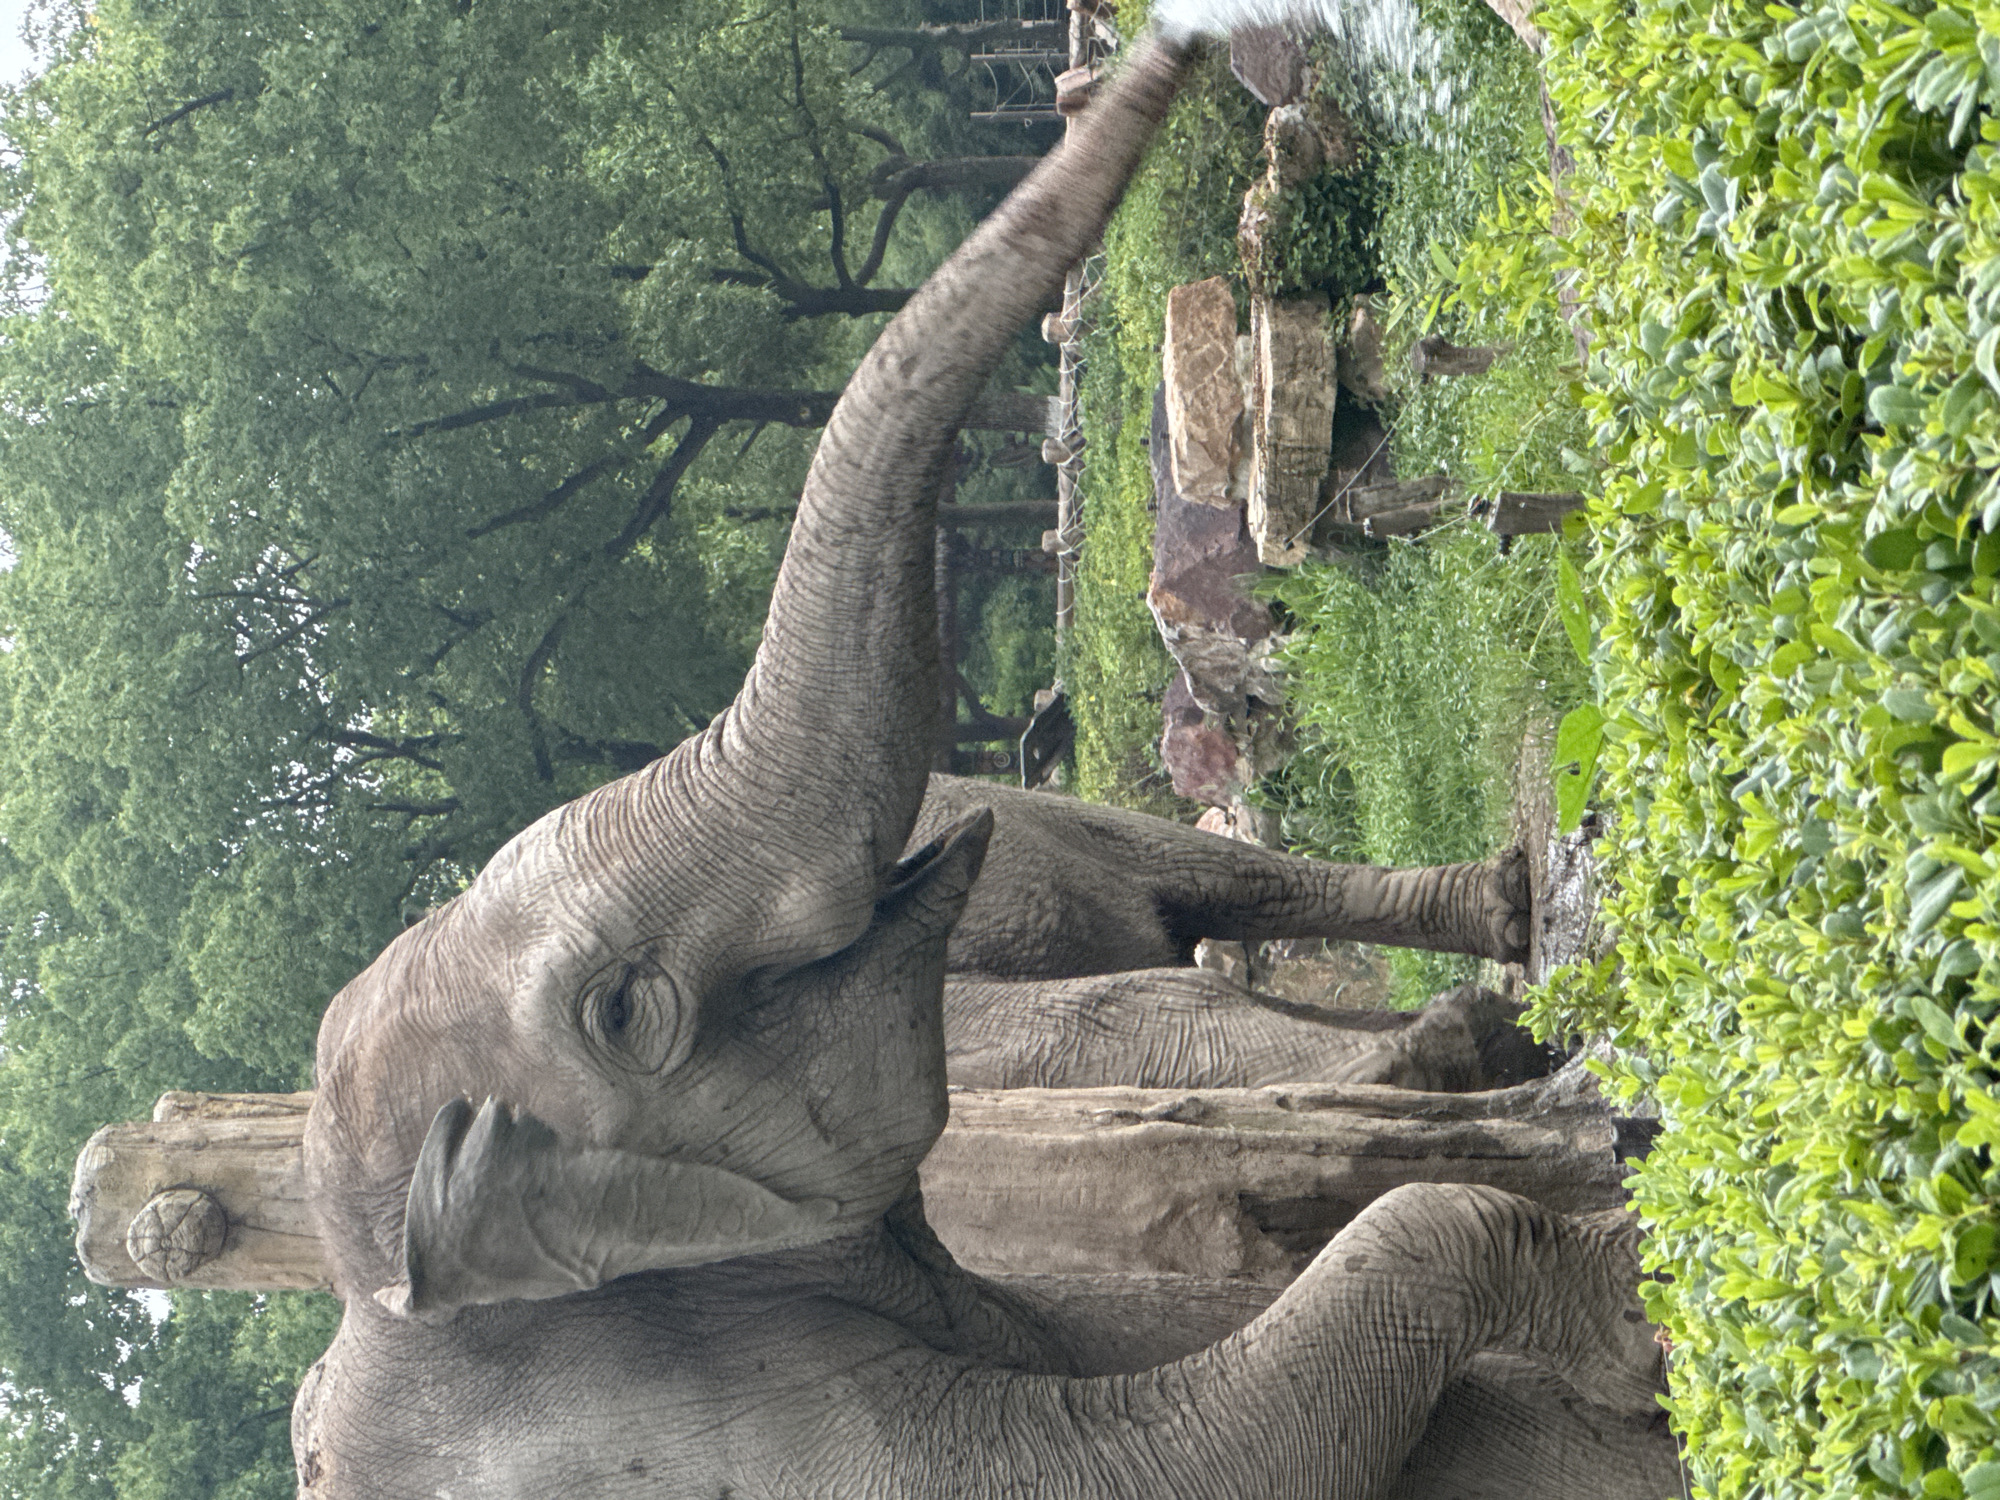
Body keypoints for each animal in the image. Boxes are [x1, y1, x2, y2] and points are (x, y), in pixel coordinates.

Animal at [290, 26, 1678, 1499]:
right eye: (621, 1014)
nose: (1171, 42)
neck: (378, 1283)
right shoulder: (681, 1425)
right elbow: (1178, 1449)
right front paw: (1633, 1310)